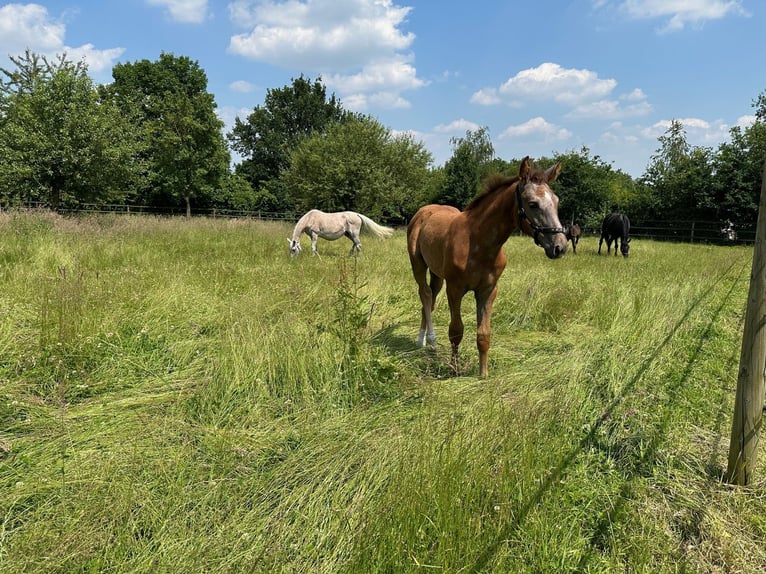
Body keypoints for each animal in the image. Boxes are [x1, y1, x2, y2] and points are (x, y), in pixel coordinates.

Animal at [408, 158, 568, 378]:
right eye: (533, 204)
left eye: (557, 201)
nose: (560, 247)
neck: (478, 241)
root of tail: (423, 211)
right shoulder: (455, 289)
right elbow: (456, 330)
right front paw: (454, 370)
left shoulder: (488, 290)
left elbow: (484, 334)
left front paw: (483, 374)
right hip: (418, 264)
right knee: (424, 294)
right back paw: (426, 340)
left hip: (437, 273)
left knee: (430, 298)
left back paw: (426, 342)